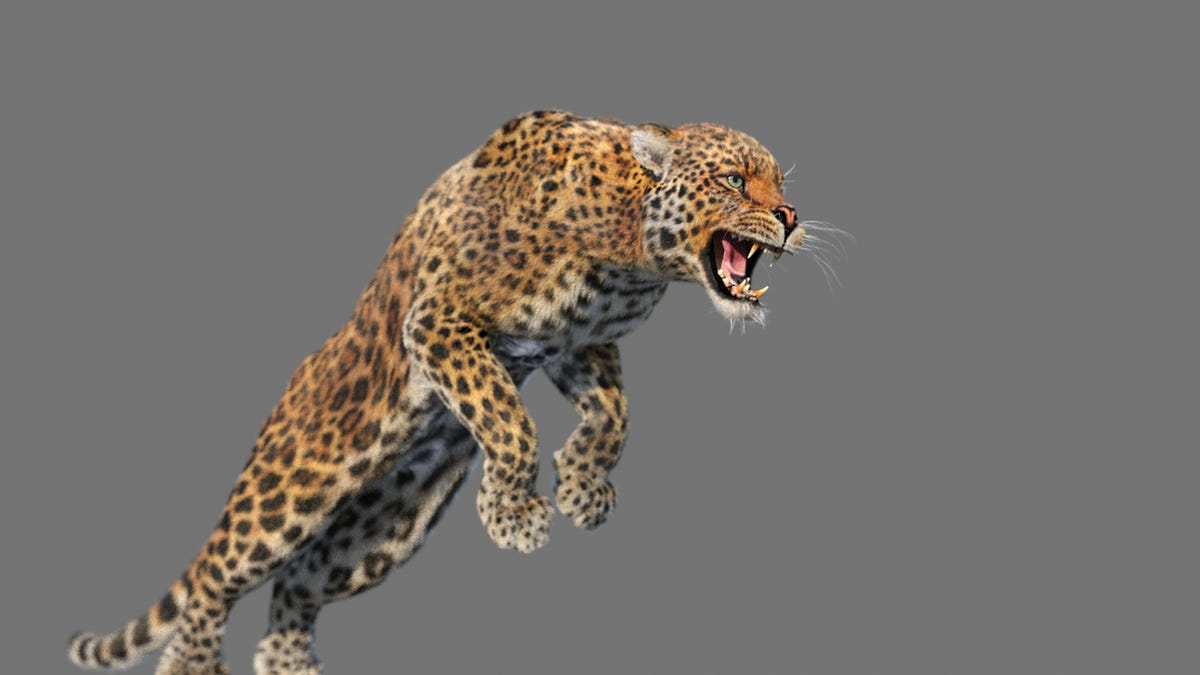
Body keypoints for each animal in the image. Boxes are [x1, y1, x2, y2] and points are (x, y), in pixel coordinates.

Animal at [67, 110, 842, 674]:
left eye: (779, 184)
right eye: (737, 181)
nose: (792, 217)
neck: (628, 250)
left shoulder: (577, 344)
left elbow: (615, 416)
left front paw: (583, 488)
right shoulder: (441, 321)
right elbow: (509, 419)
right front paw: (514, 513)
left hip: (382, 528)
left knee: (295, 584)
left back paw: (289, 663)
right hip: (293, 487)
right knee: (214, 579)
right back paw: (194, 663)